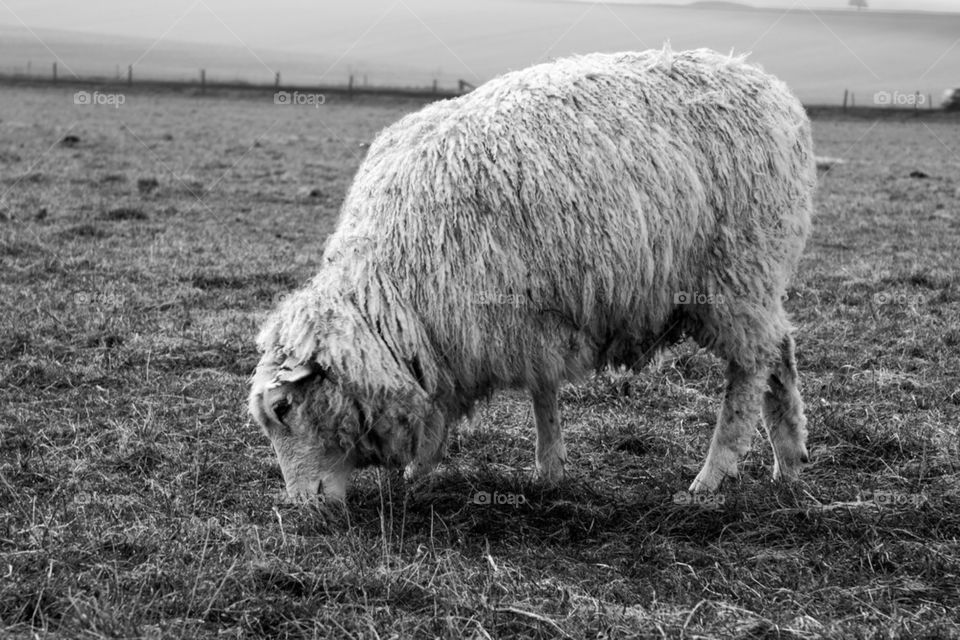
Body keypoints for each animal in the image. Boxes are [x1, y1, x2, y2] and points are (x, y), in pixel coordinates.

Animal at [249, 46, 816, 502]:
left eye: (283, 409)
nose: (303, 506)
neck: (394, 290)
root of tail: (773, 88)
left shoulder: (504, 316)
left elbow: (519, 396)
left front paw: (436, 466)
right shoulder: (520, 321)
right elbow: (539, 391)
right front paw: (543, 470)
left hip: (736, 273)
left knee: (749, 369)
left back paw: (712, 476)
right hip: (757, 282)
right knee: (781, 350)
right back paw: (789, 459)